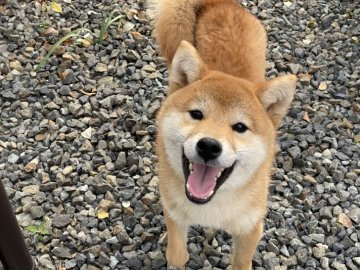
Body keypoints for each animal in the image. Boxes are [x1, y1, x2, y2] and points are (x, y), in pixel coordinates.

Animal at [148, 0, 296, 268]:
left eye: (240, 127)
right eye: (196, 114)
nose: (208, 145)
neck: (210, 206)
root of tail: (220, 3)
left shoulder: (250, 228)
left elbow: (241, 262)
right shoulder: (174, 214)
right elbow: (177, 254)